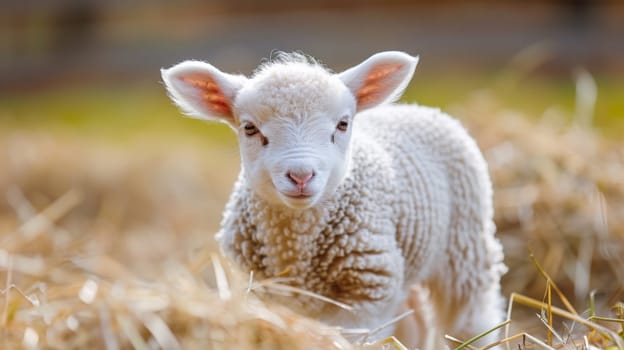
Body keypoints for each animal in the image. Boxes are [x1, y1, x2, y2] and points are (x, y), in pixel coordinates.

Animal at [161, 51, 508, 348]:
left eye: (342, 124)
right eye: (249, 128)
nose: (301, 175)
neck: (295, 241)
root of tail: (417, 107)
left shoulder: (366, 293)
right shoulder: (262, 291)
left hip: (465, 251)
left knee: (472, 319)